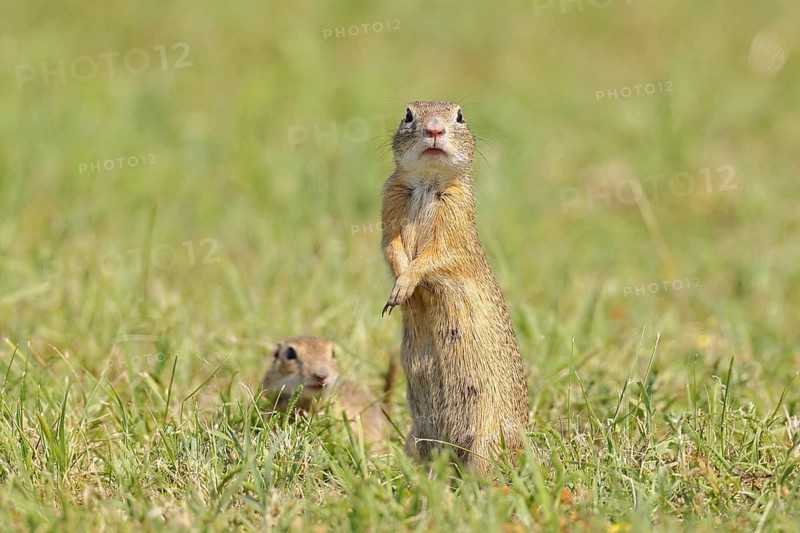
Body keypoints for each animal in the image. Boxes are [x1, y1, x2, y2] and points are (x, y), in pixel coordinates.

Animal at [380, 101, 528, 476]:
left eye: (459, 116)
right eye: (408, 114)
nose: (435, 129)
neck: (427, 184)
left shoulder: (456, 221)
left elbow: (436, 256)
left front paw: (405, 285)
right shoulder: (389, 200)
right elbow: (391, 246)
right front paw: (398, 289)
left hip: (487, 444)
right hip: (415, 438)